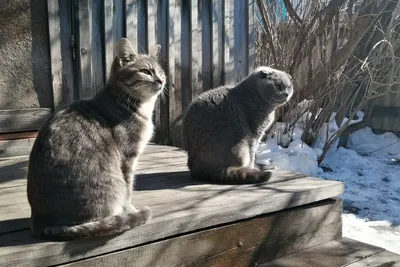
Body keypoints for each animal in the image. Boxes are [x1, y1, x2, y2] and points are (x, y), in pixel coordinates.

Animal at [27, 37, 166, 241]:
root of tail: (40, 222)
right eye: (146, 71)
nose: (161, 80)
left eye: (161, 72)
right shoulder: (128, 158)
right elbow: (128, 189)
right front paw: (129, 210)